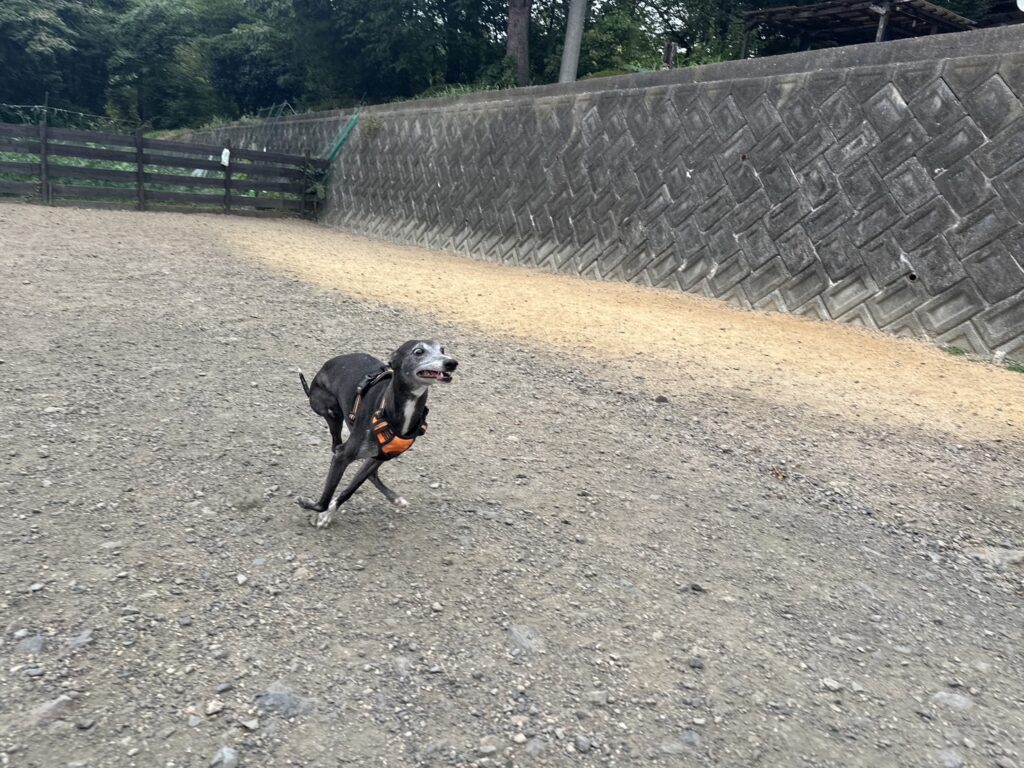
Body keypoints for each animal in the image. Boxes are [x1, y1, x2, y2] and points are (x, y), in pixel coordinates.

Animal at [297, 340, 458, 528]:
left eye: (442, 350)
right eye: (418, 351)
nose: (451, 363)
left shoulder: (381, 456)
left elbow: (350, 489)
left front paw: (330, 510)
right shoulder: (342, 456)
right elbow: (323, 501)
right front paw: (313, 507)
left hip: (374, 452)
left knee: (370, 473)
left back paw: (395, 498)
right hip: (331, 412)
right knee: (336, 445)